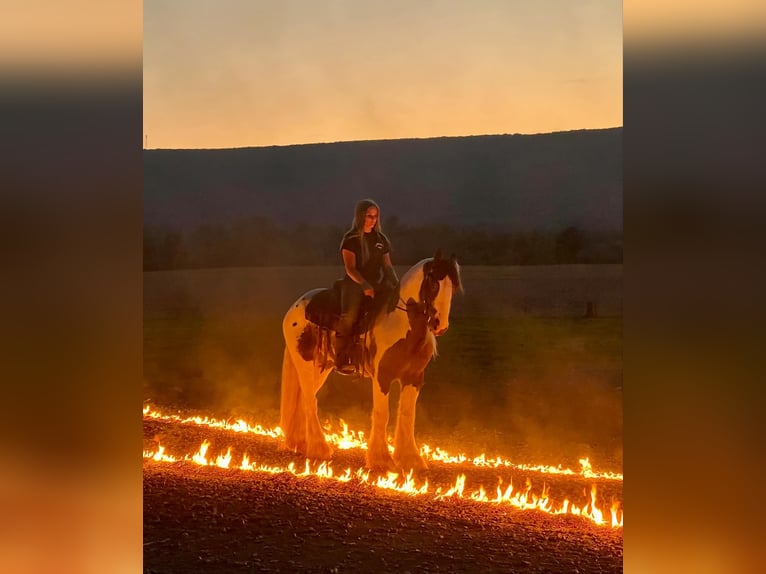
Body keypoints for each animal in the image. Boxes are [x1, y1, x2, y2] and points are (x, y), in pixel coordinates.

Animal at [280, 250, 462, 474]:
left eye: (453, 287)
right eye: (434, 284)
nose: (440, 325)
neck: (400, 321)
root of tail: (296, 305)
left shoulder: (414, 378)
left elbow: (407, 414)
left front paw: (411, 459)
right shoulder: (382, 377)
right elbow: (382, 413)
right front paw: (381, 460)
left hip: (321, 368)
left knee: (304, 398)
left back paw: (300, 442)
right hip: (304, 363)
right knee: (309, 401)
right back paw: (319, 449)